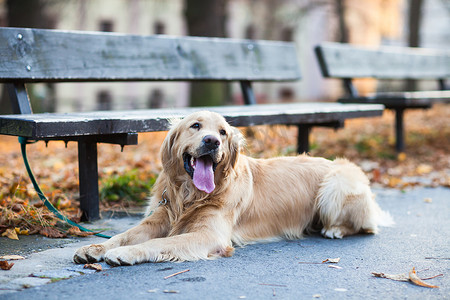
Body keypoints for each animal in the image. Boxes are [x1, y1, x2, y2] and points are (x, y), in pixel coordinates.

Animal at [73, 111, 390, 266]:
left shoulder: (209, 235)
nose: (212, 141)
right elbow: (124, 235)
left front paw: (126, 254)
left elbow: (156, 244)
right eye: (195, 126)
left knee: (366, 226)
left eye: (223, 132)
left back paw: (334, 229)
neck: (189, 196)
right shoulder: (160, 217)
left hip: (335, 185)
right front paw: (95, 247)